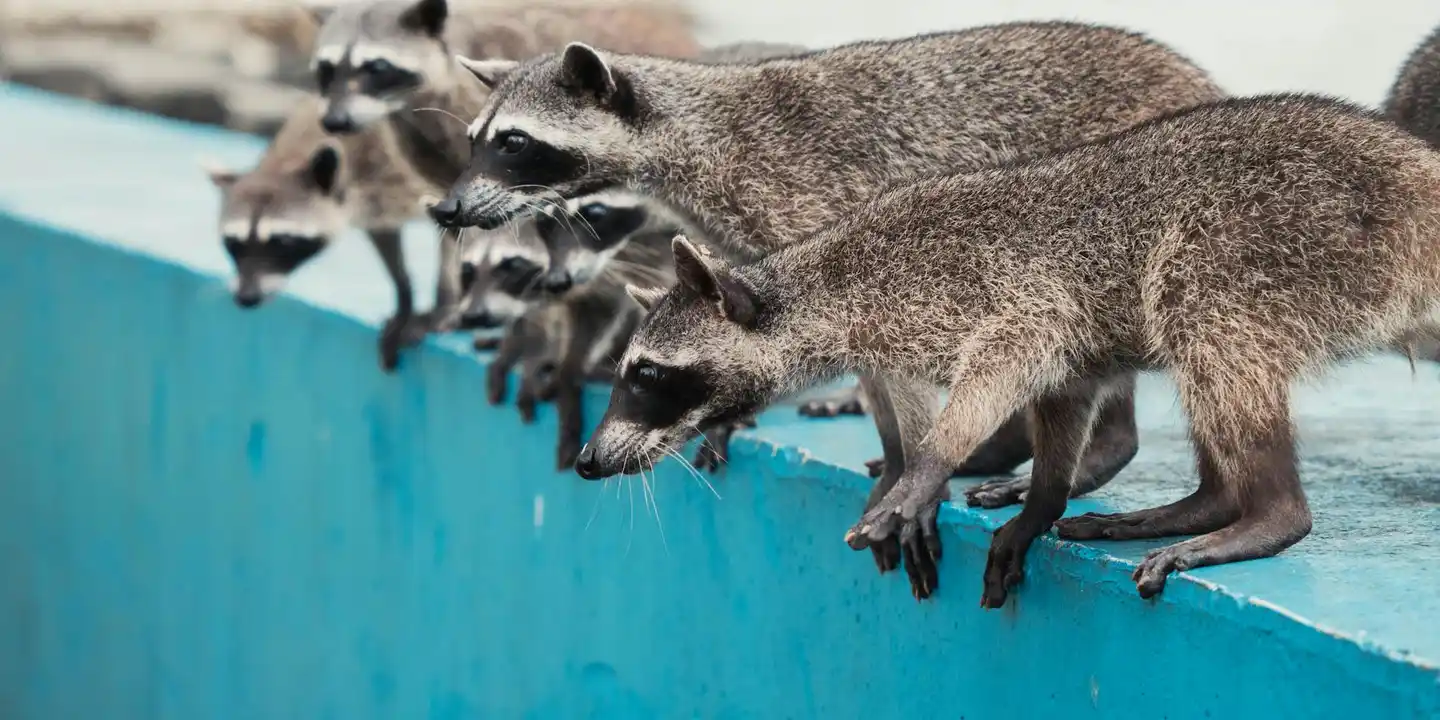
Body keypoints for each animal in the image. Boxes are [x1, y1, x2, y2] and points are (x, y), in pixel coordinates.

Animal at [434, 22, 1225, 595]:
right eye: (473, 142)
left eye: (514, 143)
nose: (446, 208)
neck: (697, 129)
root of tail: (1200, 79)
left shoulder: (829, 207)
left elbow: (881, 355)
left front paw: (907, 466)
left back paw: (1102, 444)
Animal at [575, 94, 1440, 605]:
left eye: (648, 375)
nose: (584, 461)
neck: (818, 283)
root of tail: (1415, 173)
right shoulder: (1052, 341)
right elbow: (1060, 395)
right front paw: (1039, 499)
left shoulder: (995, 293)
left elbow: (1008, 357)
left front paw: (928, 463)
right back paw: (1212, 498)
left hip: (1287, 233)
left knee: (1204, 315)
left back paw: (1265, 513)